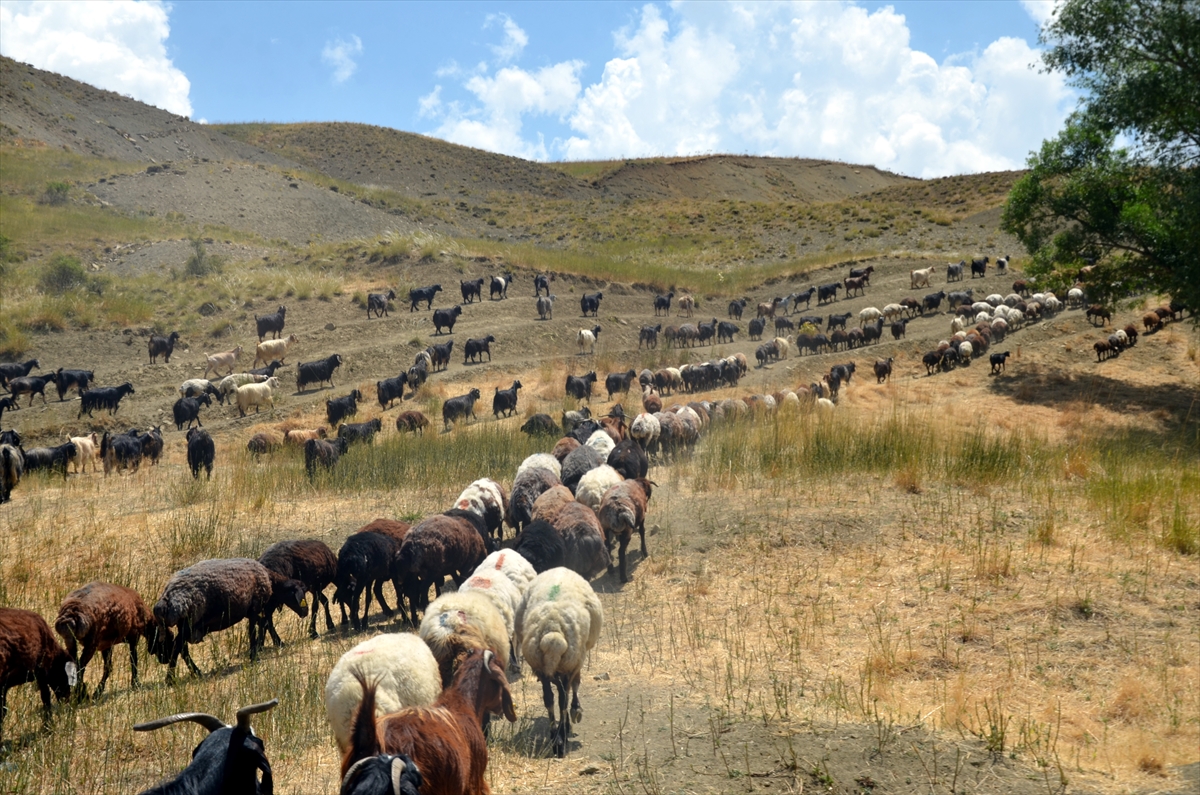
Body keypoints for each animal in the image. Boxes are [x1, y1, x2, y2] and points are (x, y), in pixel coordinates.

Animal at [518, 566, 604, 758]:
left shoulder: (552, 670)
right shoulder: (572, 666)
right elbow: (570, 690)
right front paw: (573, 715)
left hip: (545, 666)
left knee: (550, 698)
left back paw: (556, 737)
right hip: (571, 660)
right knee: (564, 696)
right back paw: (562, 734)